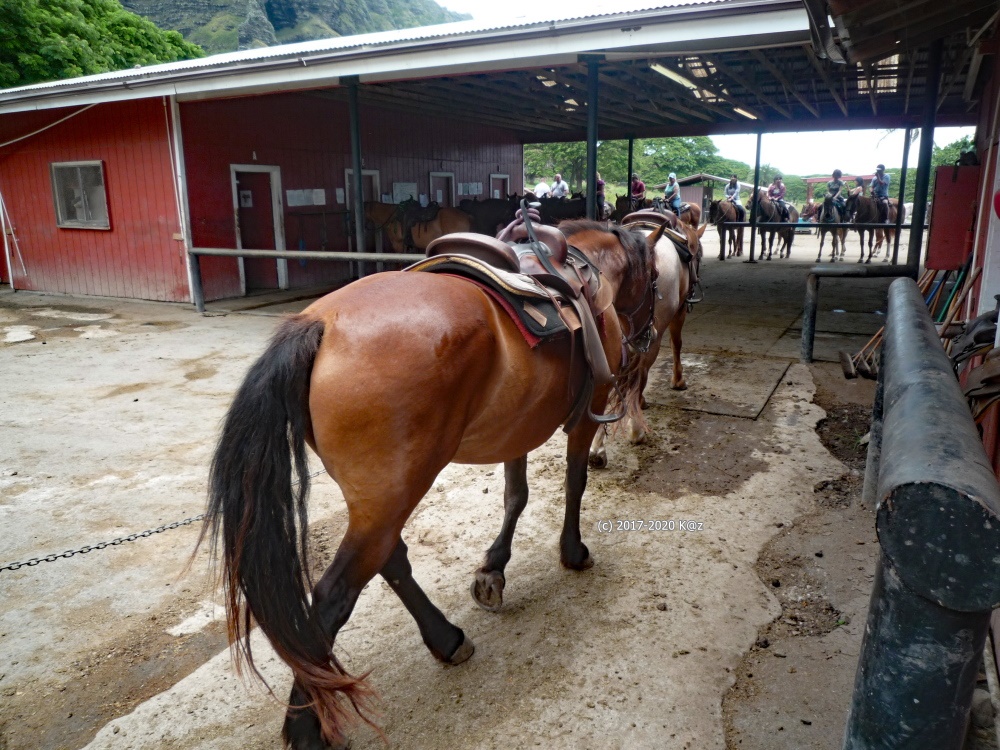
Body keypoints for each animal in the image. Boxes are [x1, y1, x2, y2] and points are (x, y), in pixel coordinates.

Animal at [199, 214, 660, 748]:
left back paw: (446, 639)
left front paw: (492, 571)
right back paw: (306, 724)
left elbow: (516, 496)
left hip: (381, 500)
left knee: (390, 559)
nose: (647, 335)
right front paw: (572, 551)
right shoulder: (588, 414)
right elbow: (574, 481)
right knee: (334, 595)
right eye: (654, 280)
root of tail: (319, 324)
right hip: (393, 493)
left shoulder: (517, 428)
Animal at [588, 212, 708, 468]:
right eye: (699, 255)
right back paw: (636, 430)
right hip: (651, 337)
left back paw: (596, 447)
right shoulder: (678, 314)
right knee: (639, 375)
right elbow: (676, 344)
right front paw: (678, 381)